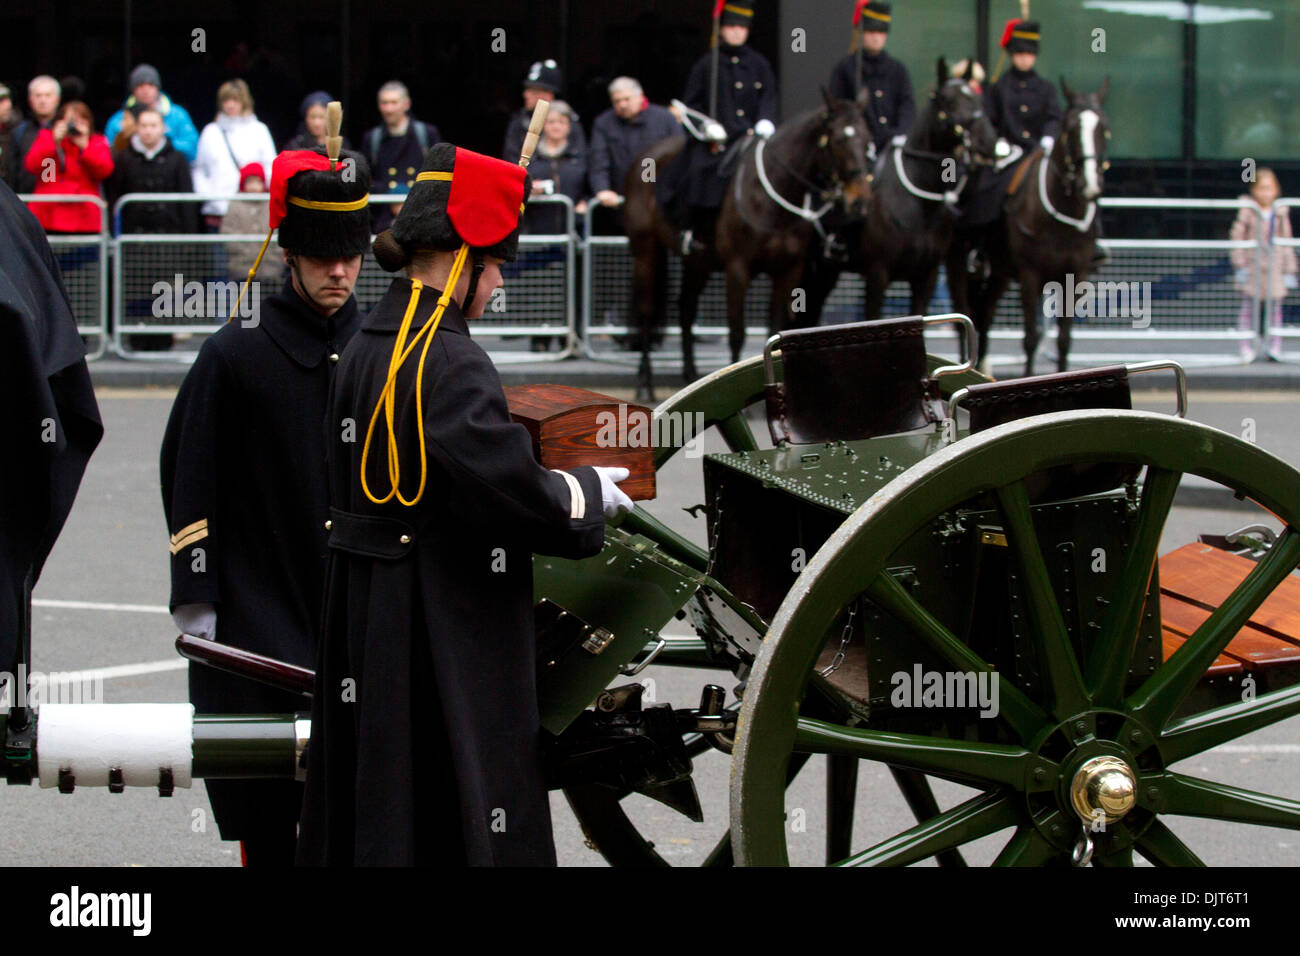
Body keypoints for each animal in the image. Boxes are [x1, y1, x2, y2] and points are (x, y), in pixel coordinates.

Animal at [621, 89, 873, 400]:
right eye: (838, 140)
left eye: (867, 139)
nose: (859, 201)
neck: (771, 197)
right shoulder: (737, 269)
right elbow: (737, 332)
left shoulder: (789, 271)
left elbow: (776, 327)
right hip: (646, 250)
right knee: (646, 311)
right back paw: (644, 382)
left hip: (698, 262)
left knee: (686, 308)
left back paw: (690, 373)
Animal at [795, 62, 998, 329]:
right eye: (947, 100)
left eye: (976, 98)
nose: (989, 142)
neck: (921, 207)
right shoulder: (878, 273)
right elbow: (873, 316)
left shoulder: (927, 276)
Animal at [941, 76, 1112, 374]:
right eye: (1070, 129)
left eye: (1103, 128)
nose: (1090, 185)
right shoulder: (1030, 275)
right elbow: (1031, 337)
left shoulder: (1076, 274)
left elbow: (1064, 339)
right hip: (958, 266)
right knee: (964, 317)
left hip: (999, 274)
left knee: (984, 316)